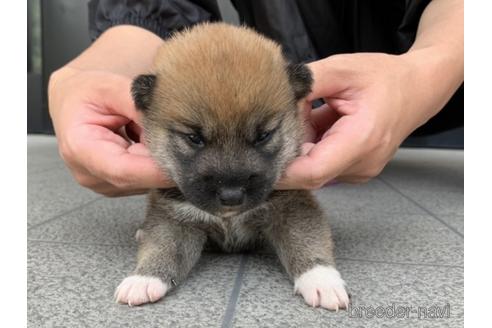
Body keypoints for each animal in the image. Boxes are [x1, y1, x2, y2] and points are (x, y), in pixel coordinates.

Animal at [114, 22, 350, 310]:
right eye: (194, 138)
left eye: (263, 135)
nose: (232, 196)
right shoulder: (175, 216)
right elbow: (163, 245)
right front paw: (144, 278)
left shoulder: (292, 206)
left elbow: (306, 239)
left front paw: (321, 279)